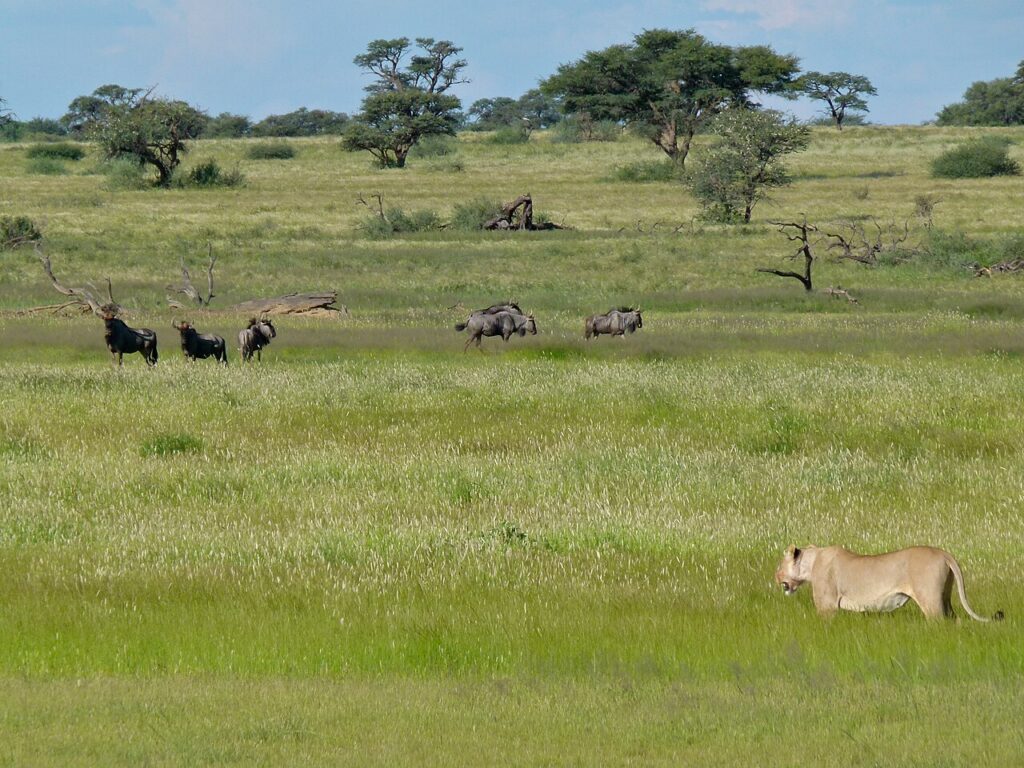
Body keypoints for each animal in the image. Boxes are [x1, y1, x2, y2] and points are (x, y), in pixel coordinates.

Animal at [774, 545, 1004, 621]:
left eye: (779, 565)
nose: (775, 577)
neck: (811, 563)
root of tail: (943, 553)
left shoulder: (827, 606)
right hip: (945, 596)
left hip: (930, 599)